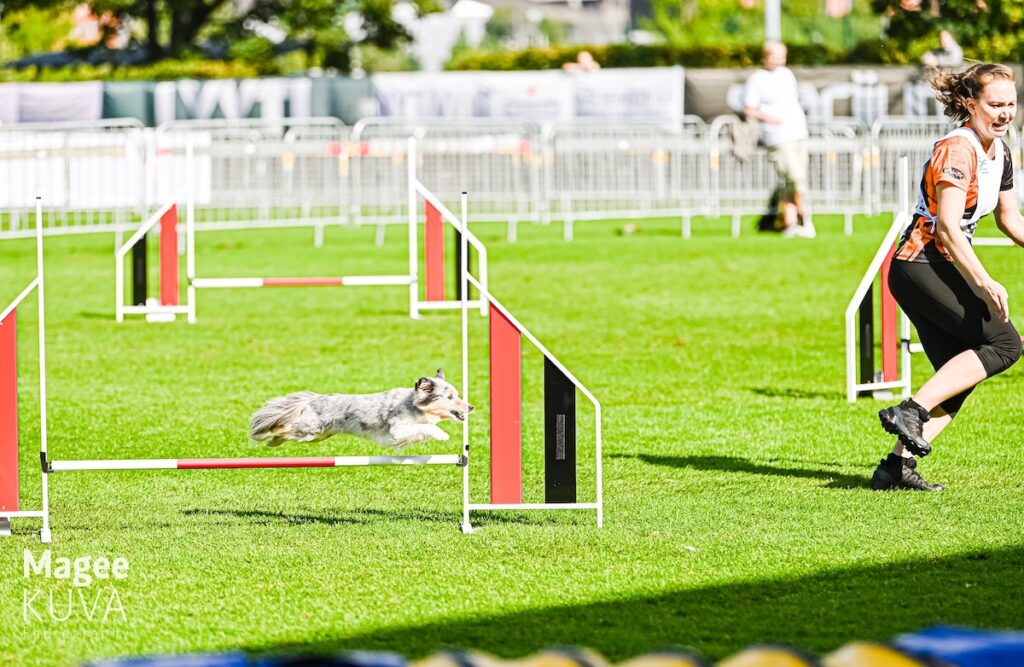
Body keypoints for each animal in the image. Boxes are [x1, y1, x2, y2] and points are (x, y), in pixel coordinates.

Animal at [249, 370, 473, 448]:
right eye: (450, 397)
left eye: (457, 395)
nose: (471, 407)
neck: (414, 405)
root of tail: (314, 398)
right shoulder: (397, 429)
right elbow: (428, 428)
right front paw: (443, 435)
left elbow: (423, 429)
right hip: (310, 429)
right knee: (279, 427)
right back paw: (262, 436)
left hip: (316, 435)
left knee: (283, 433)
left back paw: (272, 443)